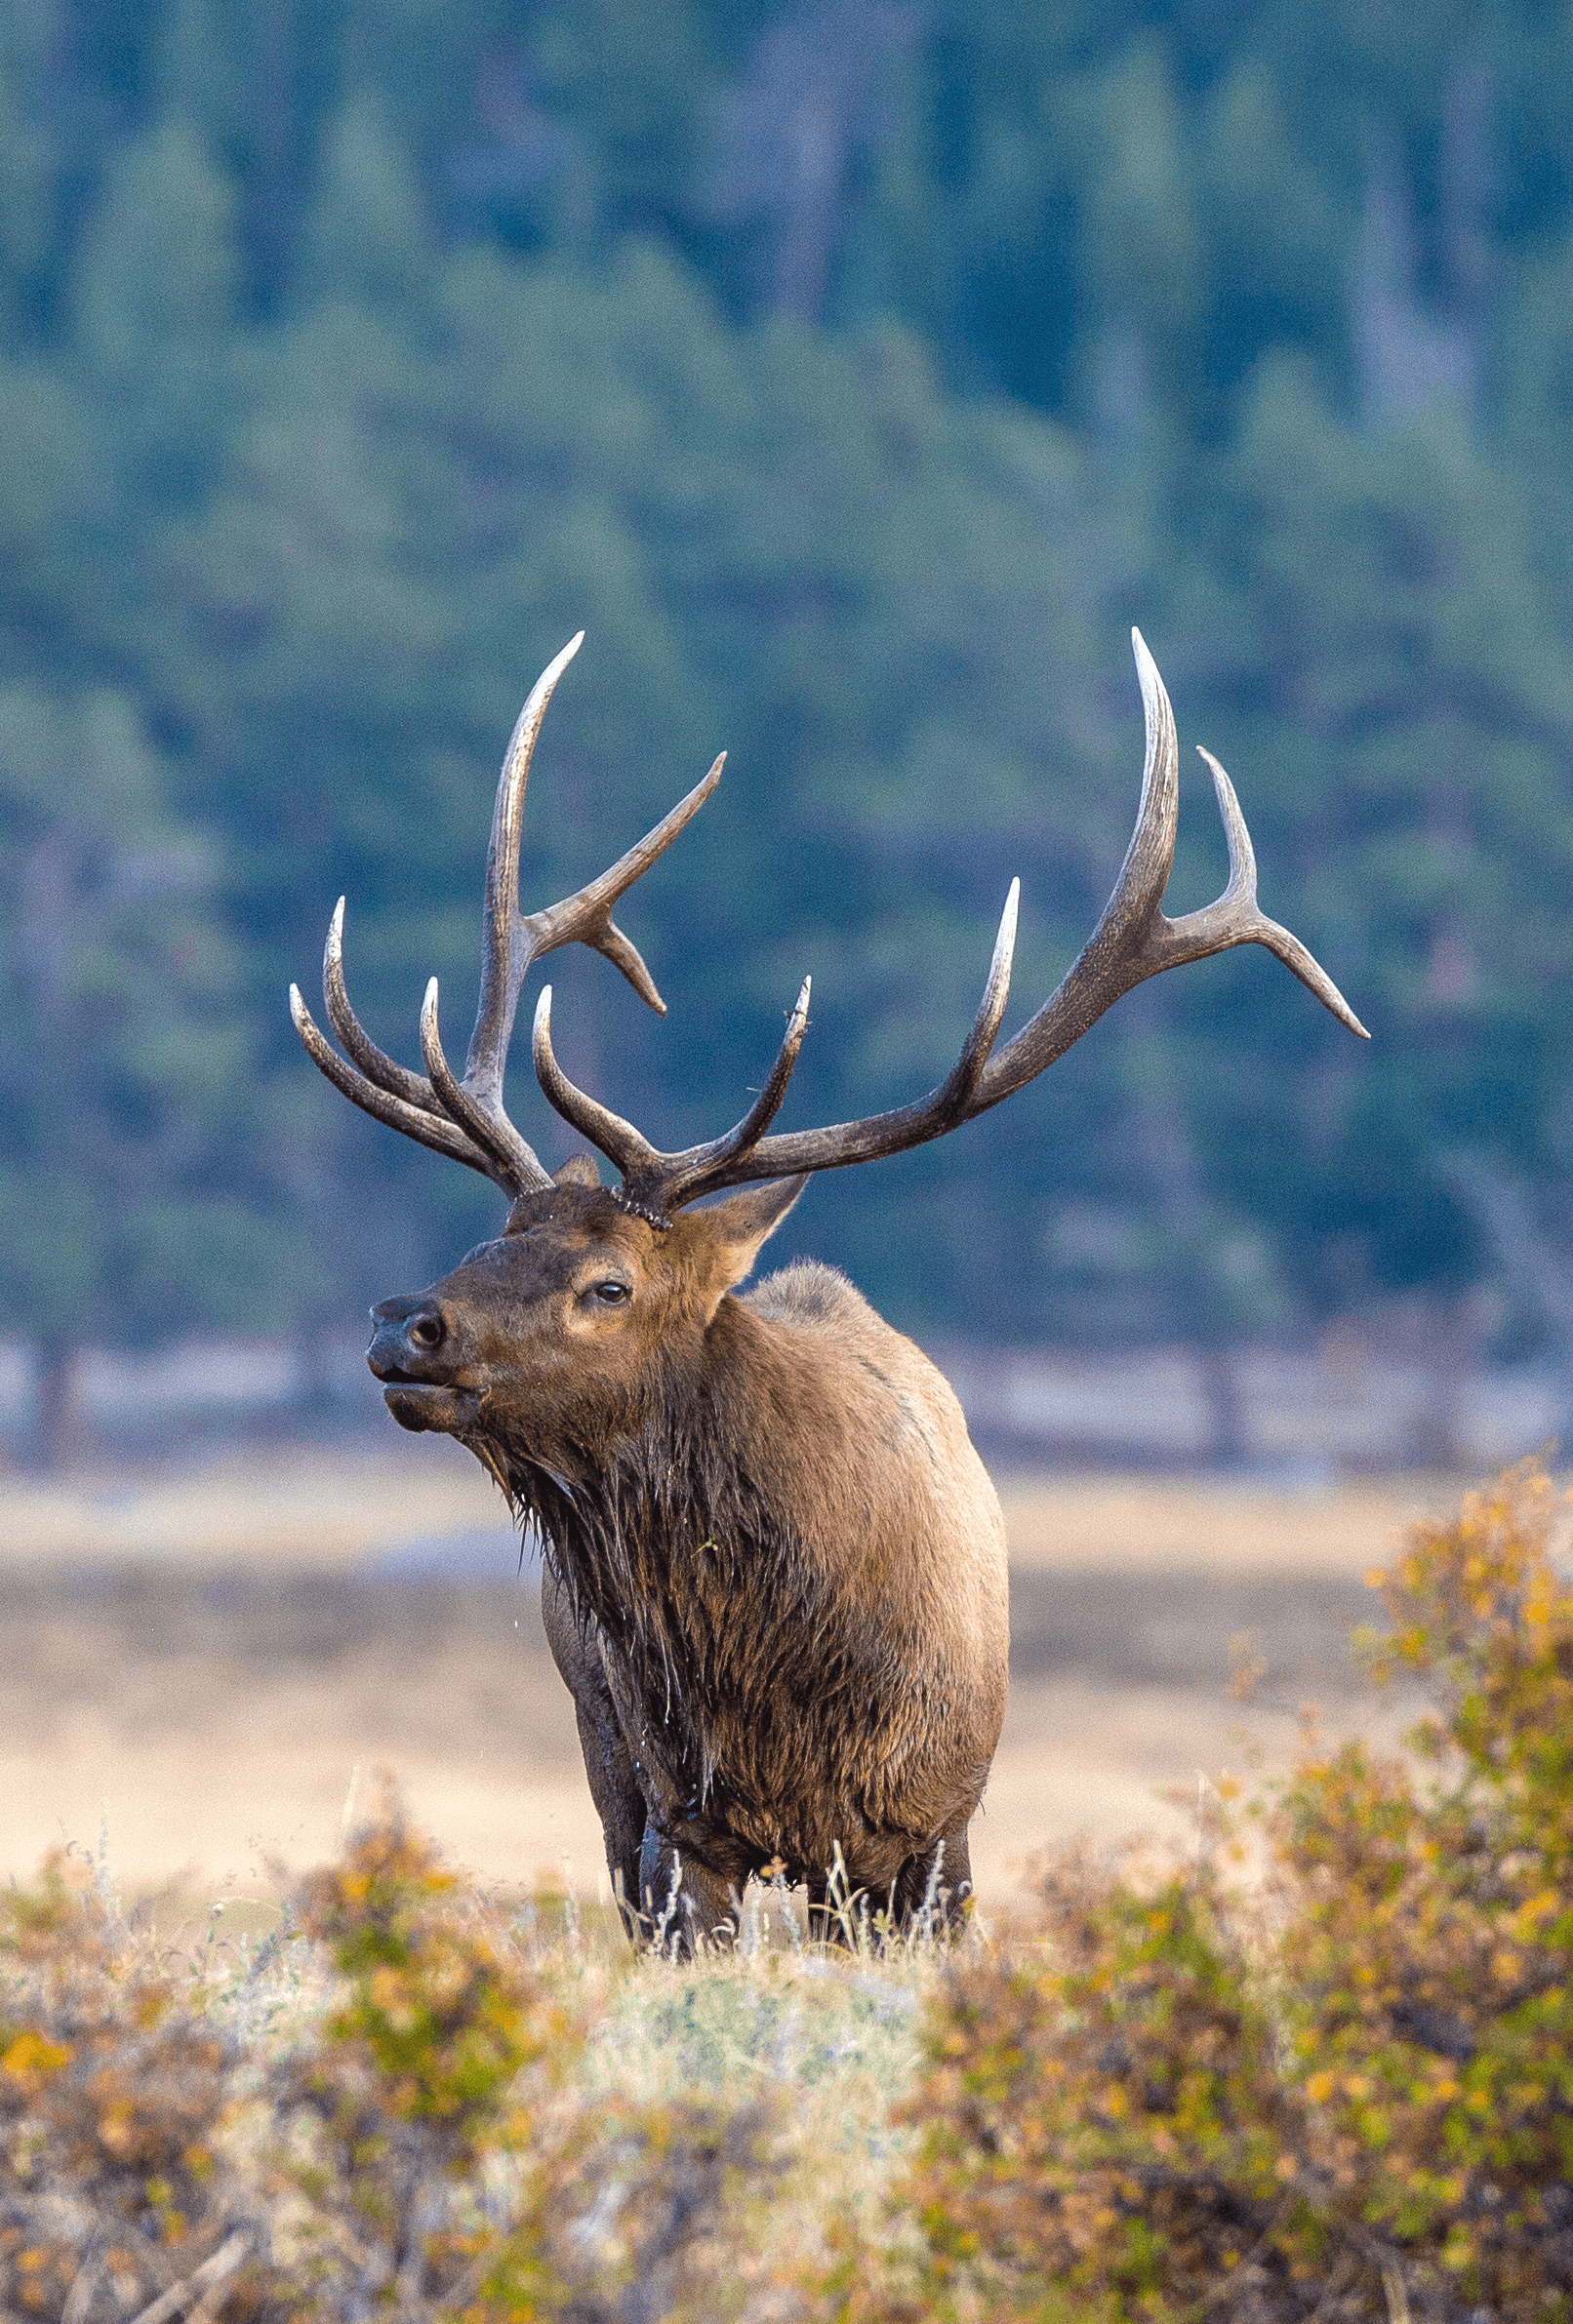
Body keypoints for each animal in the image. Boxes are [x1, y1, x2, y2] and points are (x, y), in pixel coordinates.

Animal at [290, 631, 1366, 1946]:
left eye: (608, 1285)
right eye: (494, 1231)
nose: (406, 1323)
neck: (790, 1680)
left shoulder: (936, 1825)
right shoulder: (675, 1821)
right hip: (603, 1763)